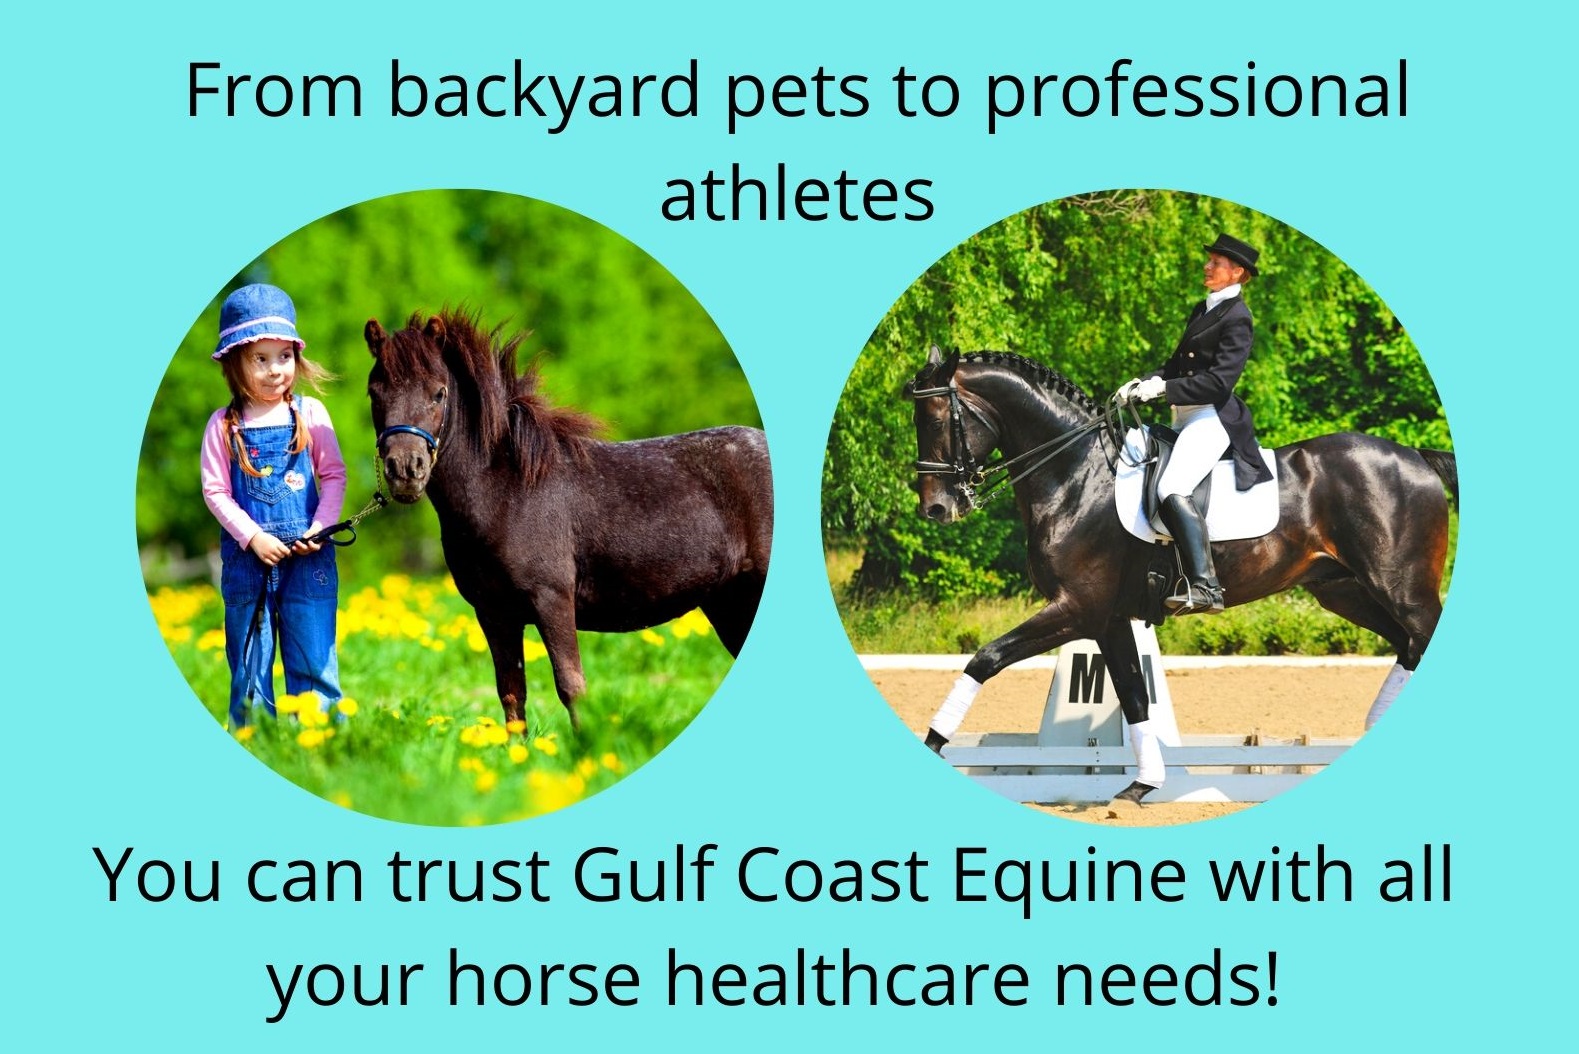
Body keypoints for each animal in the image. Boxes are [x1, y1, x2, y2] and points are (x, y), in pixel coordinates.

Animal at [365, 310, 772, 731]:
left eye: (439, 393)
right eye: (374, 393)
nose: (405, 470)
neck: (508, 490)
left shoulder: (552, 600)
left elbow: (571, 686)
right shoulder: (494, 613)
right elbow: (511, 693)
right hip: (729, 602)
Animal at [906, 346, 1455, 808]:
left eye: (935, 420)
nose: (936, 509)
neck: (1076, 475)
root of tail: (1415, 456)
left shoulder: (1076, 608)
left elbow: (986, 659)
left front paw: (933, 742)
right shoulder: (1106, 619)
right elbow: (1133, 696)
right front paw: (1140, 787)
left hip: (1402, 590)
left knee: (1420, 639)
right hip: (1346, 592)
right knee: (1409, 648)